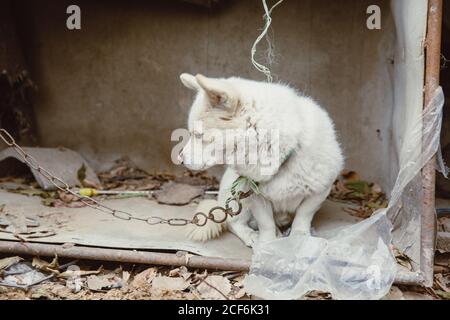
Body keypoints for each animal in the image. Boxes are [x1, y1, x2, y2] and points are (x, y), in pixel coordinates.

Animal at [178, 73, 342, 248]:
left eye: (199, 135)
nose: (179, 159)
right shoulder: (254, 195)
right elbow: (266, 223)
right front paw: (267, 244)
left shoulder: (320, 191)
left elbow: (303, 215)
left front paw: (299, 237)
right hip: (238, 198)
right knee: (233, 222)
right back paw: (253, 234)